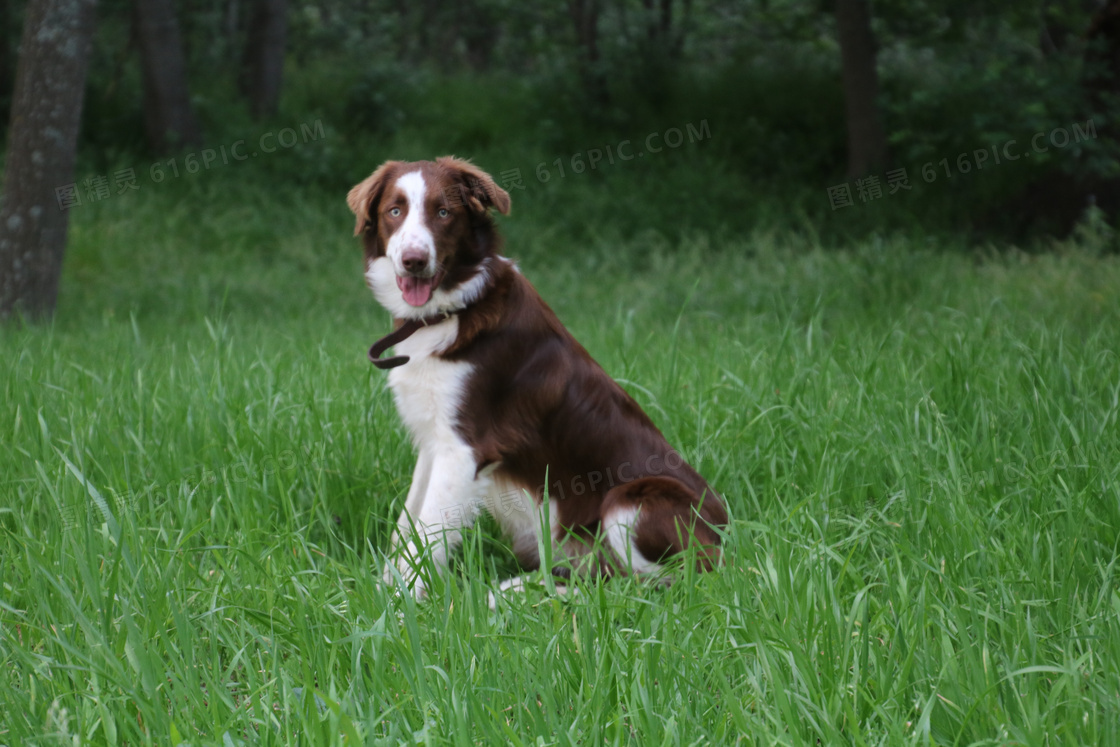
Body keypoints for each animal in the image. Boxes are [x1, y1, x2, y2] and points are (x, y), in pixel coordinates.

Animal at [351, 156, 734, 600]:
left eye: (443, 213)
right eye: (394, 211)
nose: (413, 259)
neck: (455, 306)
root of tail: (729, 538)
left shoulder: (465, 447)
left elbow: (426, 535)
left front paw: (400, 607)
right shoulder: (433, 440)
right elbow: (406, 528)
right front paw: (381, 591)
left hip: (632, 503)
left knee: (646, 585)